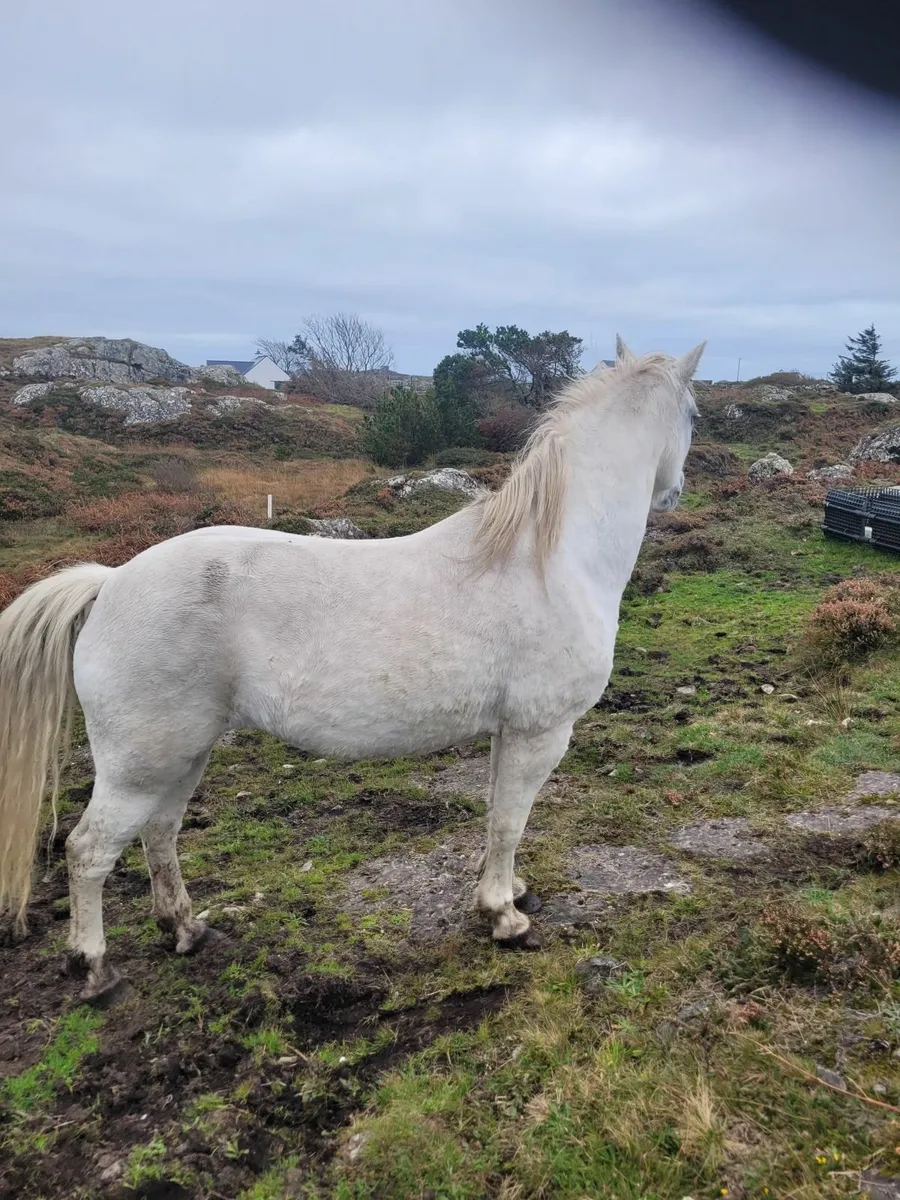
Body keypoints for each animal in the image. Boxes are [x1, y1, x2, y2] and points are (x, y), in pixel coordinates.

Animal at [0, 337, 703, 1002]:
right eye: (695, 414)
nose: (675, 493)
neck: (548, 561)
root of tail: (112, 581)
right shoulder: (541, 731)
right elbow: (509, 821)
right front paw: (504, 916)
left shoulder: (509, 731)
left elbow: (497, 815)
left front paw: (510, 891)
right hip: (141, 763)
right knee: (89, 852)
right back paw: (94, 969)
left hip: (184, 753)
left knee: (159, 834)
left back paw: (186, 928)